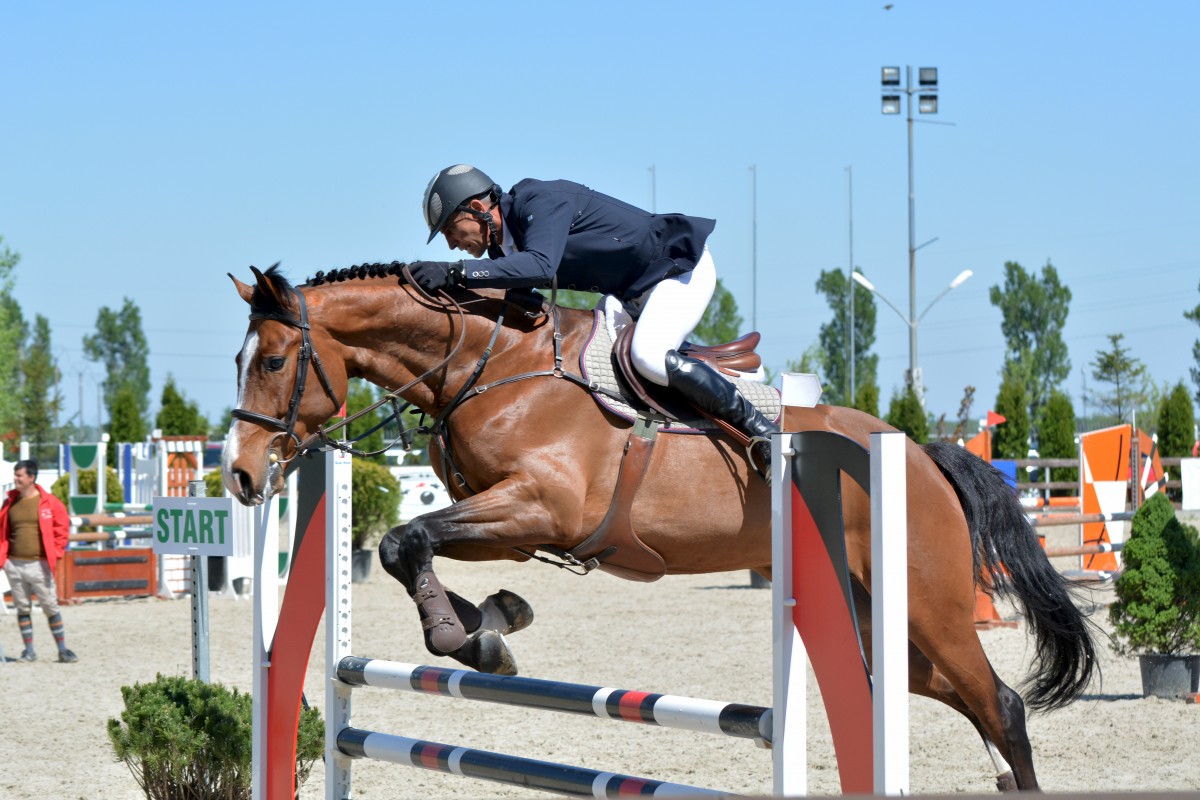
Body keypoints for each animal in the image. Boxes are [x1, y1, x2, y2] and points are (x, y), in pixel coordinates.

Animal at [220, 261, 1094, 786]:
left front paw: (461, 634)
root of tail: (916, 451)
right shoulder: (517, 525)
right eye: (240, 360)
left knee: (1002, 706)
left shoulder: (540, 504)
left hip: (930, 606)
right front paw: (489, 625)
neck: (490, 364)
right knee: (954, 697)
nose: (242, 475)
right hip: (887, 629)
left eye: (272, 361)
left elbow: (408, 539)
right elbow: (418, 547)